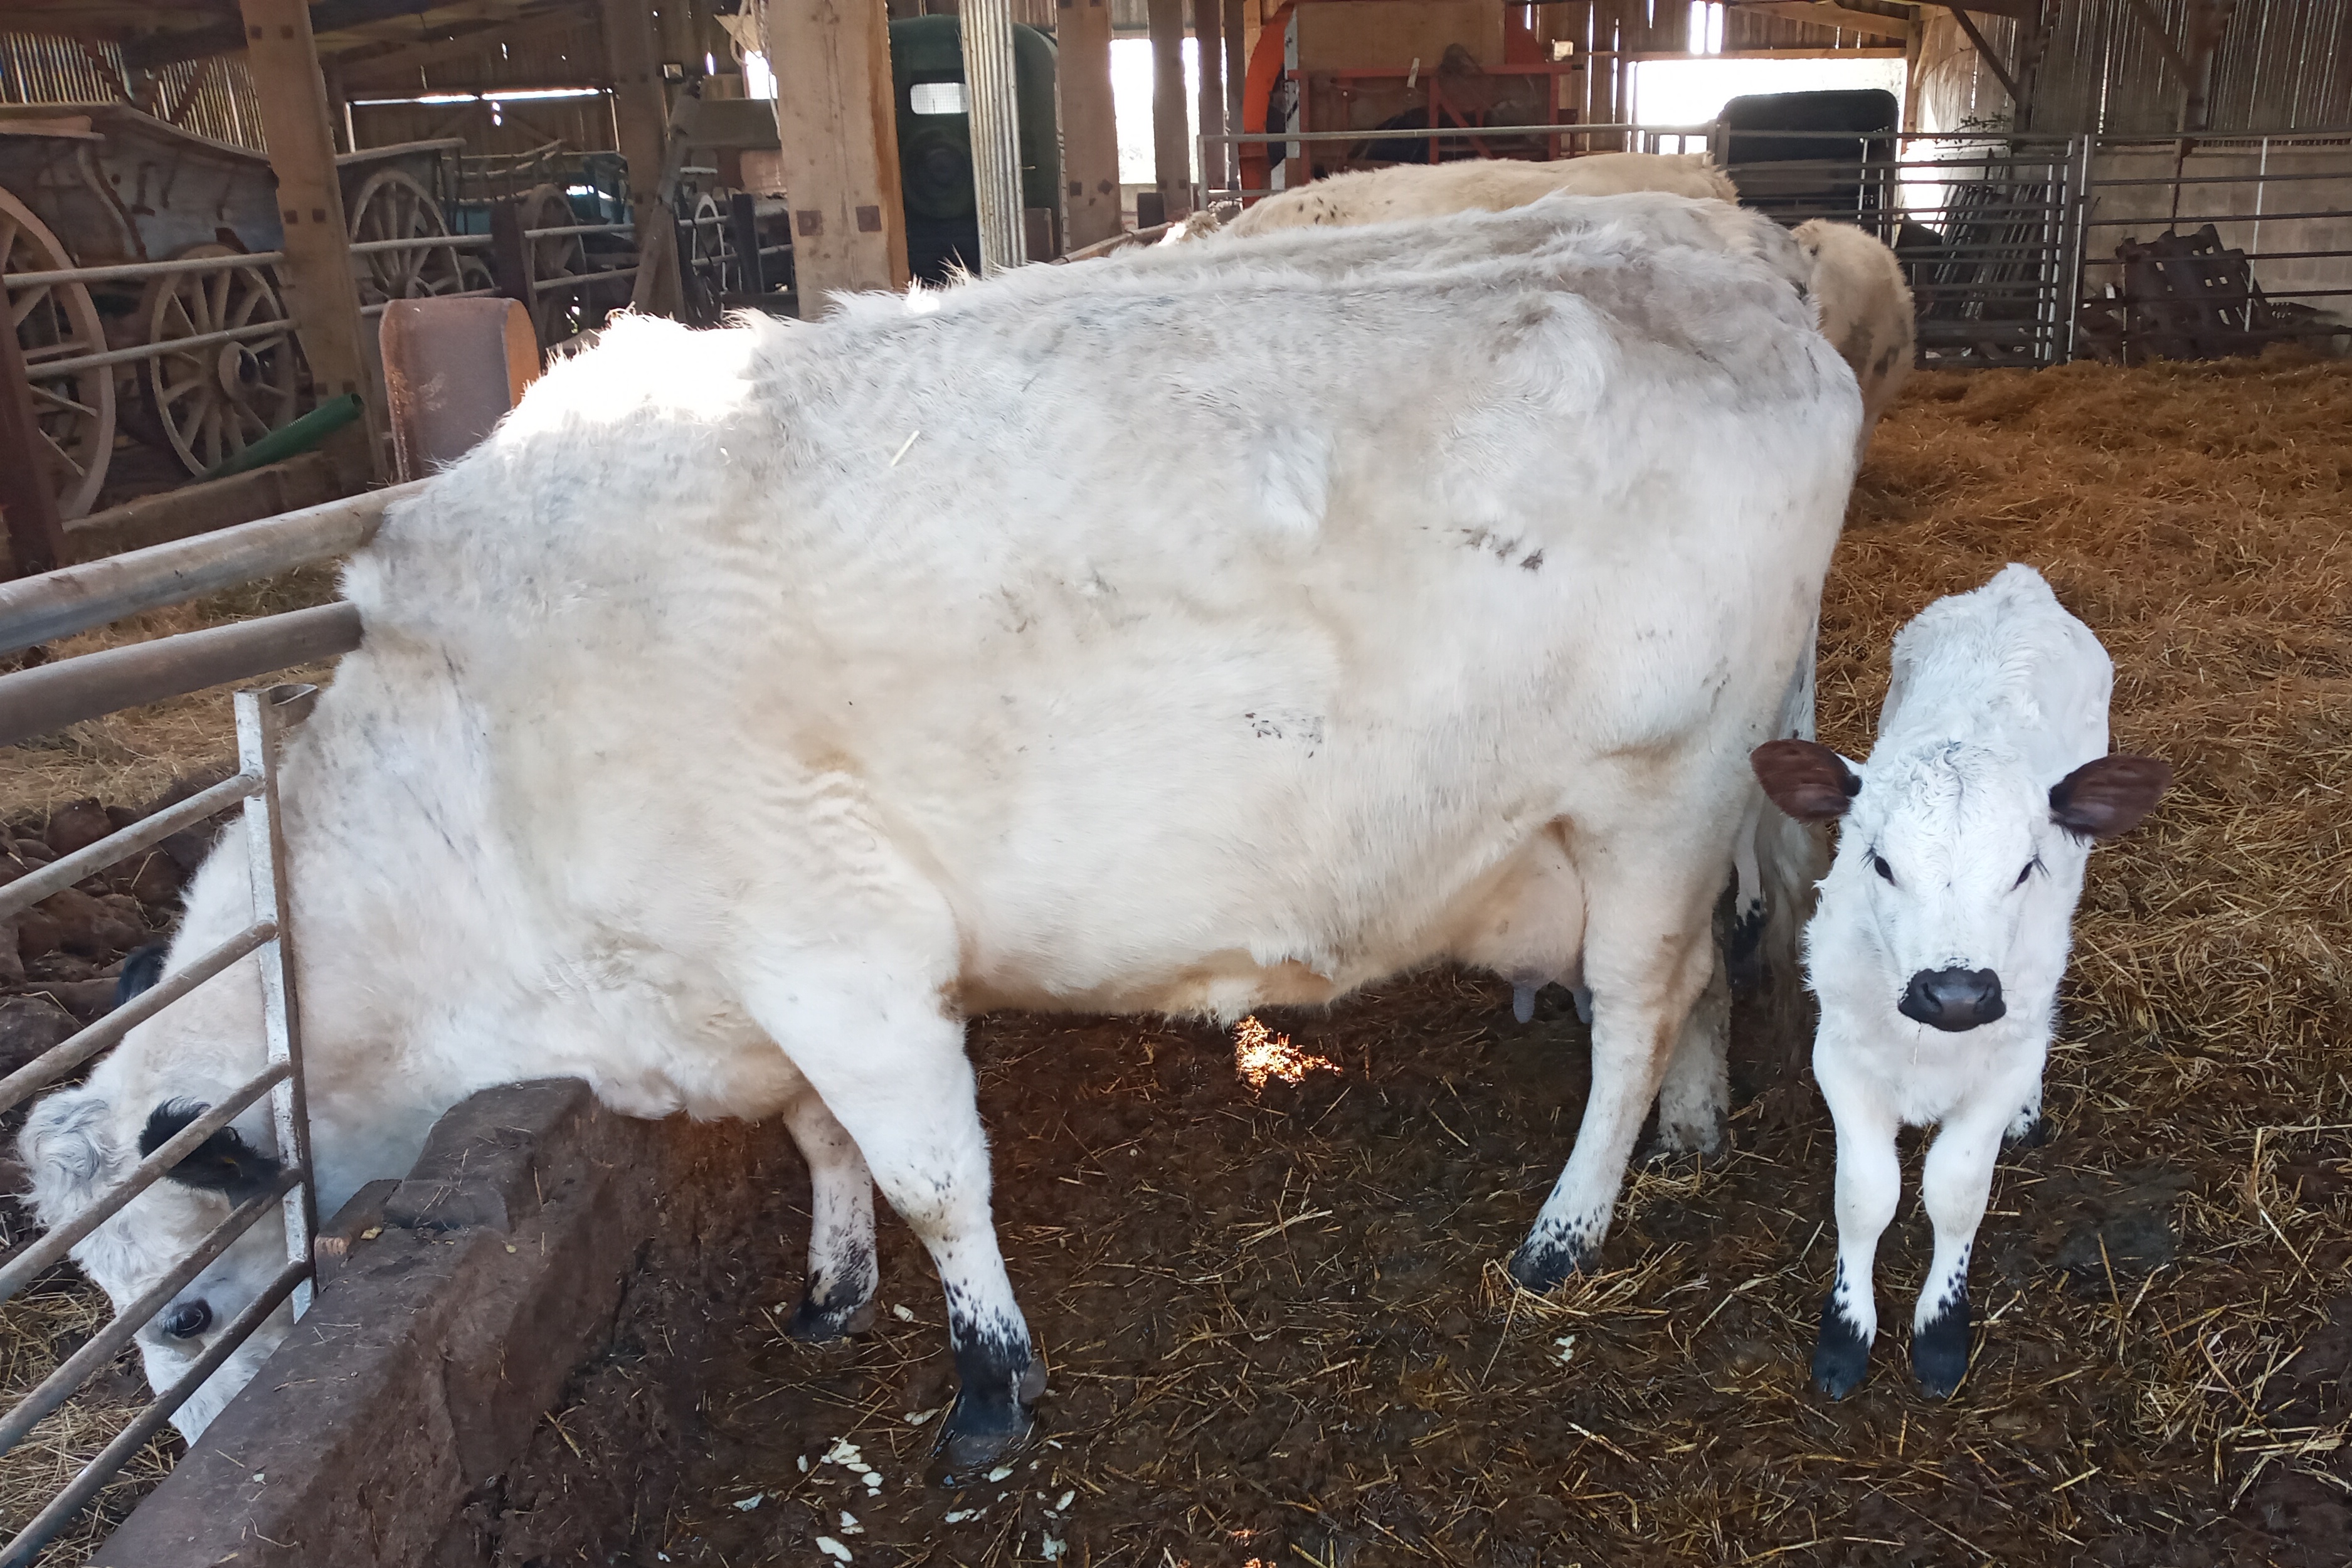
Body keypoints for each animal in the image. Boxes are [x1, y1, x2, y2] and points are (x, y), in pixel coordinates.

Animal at [22, 196, 1861, 1473]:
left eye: (200, 1309)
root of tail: (1734, 273)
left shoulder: (837, 957)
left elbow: (926, 1171)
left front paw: (986, 1383)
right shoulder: (750, 1000)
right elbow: (819, 1147)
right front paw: (831, 1289)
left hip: (1653, 789)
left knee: (1635, 1002)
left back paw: (1568, 1228)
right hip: (1685, 810)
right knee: (1707, 970)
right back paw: (1690, 1137)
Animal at [1750, 564, 2169, 1401]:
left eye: (2025, 867)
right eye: (1879, 861)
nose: (1956, 994)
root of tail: (2019, 585)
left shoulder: (1996, 1068)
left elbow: (1956, 1192)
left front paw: (1941, 1332)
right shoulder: (1839, 1055)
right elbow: (1866, 1195)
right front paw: (1845, 1335)